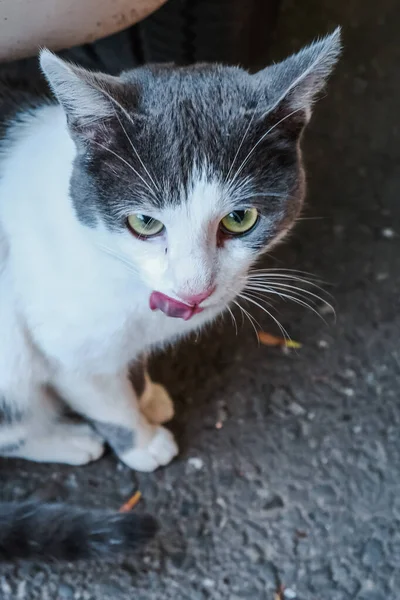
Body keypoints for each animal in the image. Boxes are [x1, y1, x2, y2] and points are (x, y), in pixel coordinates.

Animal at [0, 28, 340, 560]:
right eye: (144, 222)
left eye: (240, 218)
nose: (194, 288)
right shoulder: (66, 344)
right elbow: (104, 399)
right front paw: (142, 441)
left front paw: (147, 393)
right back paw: (67, 440)